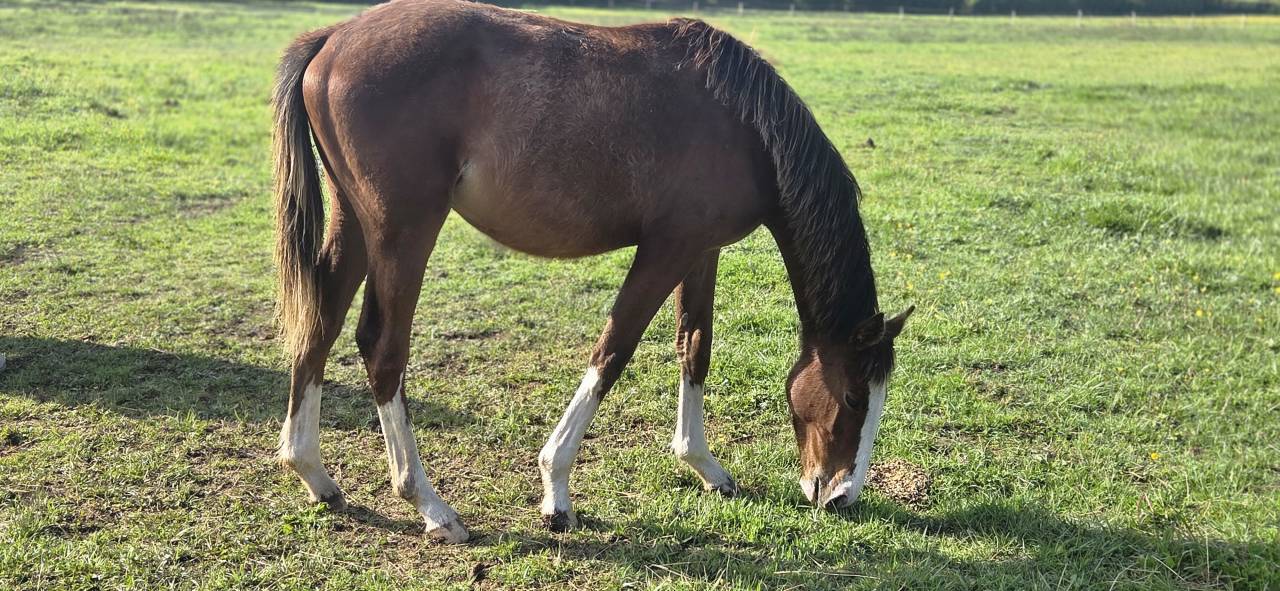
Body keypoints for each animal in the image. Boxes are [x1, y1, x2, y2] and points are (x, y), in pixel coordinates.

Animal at [272, 0, 913, 544]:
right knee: (382, 349)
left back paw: (314, 474)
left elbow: (694, 347)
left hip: (355, 226)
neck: (743, 123)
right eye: (854, 396)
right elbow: (613, 350)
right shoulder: (665, 251)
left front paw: (704, 465)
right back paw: (429, 505)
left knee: (319, 325)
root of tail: (334, 38)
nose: (841, 496)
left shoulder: (700, 251)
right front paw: (556, 490)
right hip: (405, 232)